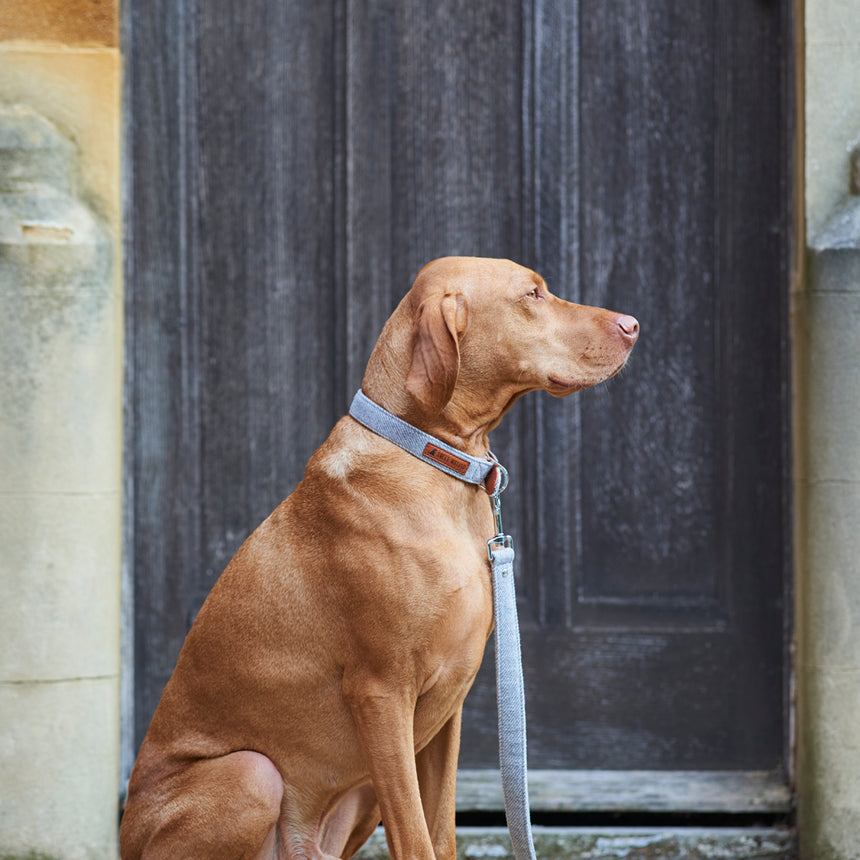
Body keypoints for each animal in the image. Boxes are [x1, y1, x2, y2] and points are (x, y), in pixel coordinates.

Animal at [122, 256, 640, 860]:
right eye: (532, 294)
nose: (633, 325)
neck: (432, 461)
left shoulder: (447, 709)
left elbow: (440, 832)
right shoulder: (381, 693)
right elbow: (415, 839)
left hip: (359, 792)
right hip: (252, 776)